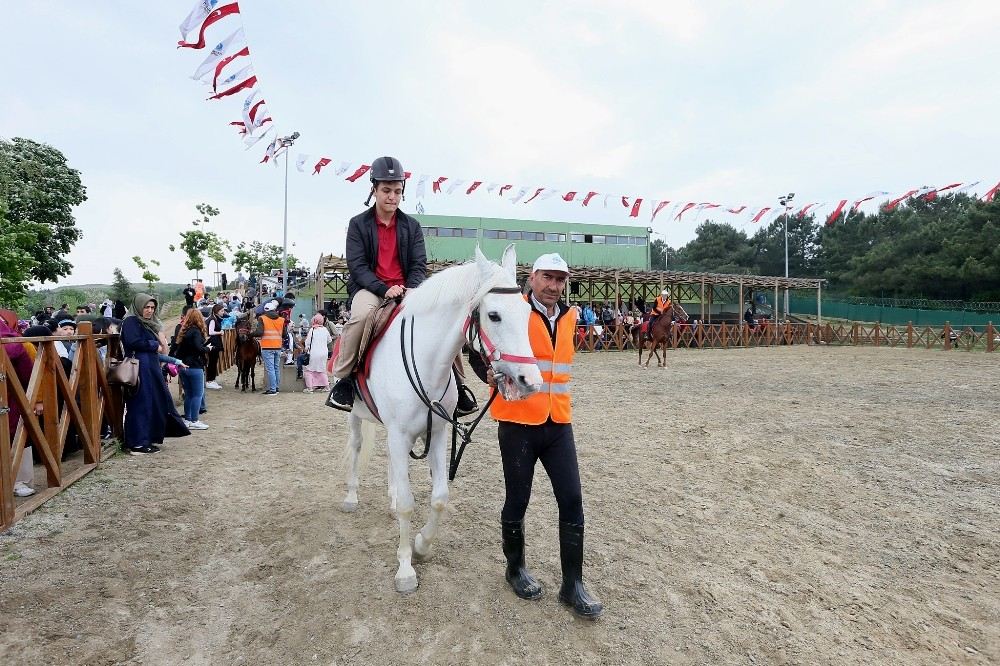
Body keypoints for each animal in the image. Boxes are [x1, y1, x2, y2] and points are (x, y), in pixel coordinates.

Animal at [342, 244, 544, 592]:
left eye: (526, 313)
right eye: (494, 315)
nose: (530, 381)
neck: (425, 364)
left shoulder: (435, 434)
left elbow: (439, 497)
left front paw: (422, 545)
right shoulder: (400, 435)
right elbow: (409, 504)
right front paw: (405, 570)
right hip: (356, 416)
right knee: (356, 447)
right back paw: (352, 497)